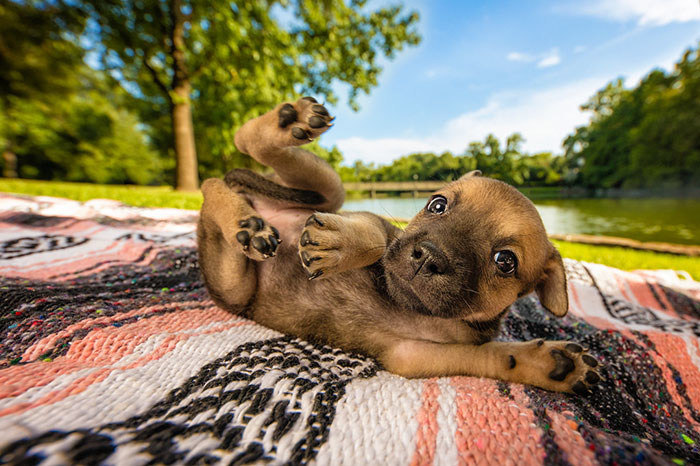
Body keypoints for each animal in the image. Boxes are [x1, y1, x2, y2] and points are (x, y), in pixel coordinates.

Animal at [197, 96, 600, 396]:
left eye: (505, 261)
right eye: (436, 204)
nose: (428, 257)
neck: (413, 308)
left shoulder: (412, 355)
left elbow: (494, 357)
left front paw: (552, 366)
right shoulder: (381, 227)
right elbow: (377, 239)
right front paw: (337, 245)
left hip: (238, 281)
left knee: (214, 183)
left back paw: (247, 222)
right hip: (328, 194)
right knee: (232, 157)